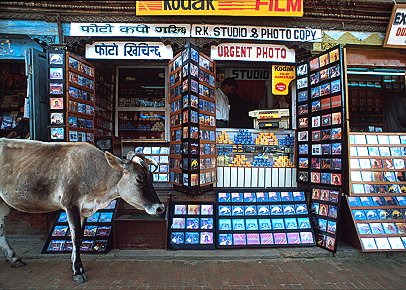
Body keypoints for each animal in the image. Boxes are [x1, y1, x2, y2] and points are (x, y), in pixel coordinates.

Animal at [0, 138, 165, 284]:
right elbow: (76, 237)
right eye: (139, 179)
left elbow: (80, 236)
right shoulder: (71, 204)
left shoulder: (84, 209)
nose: (160, 208)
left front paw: (77, 266)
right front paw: (78, 271)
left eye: (151, 178)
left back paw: (14, 258)